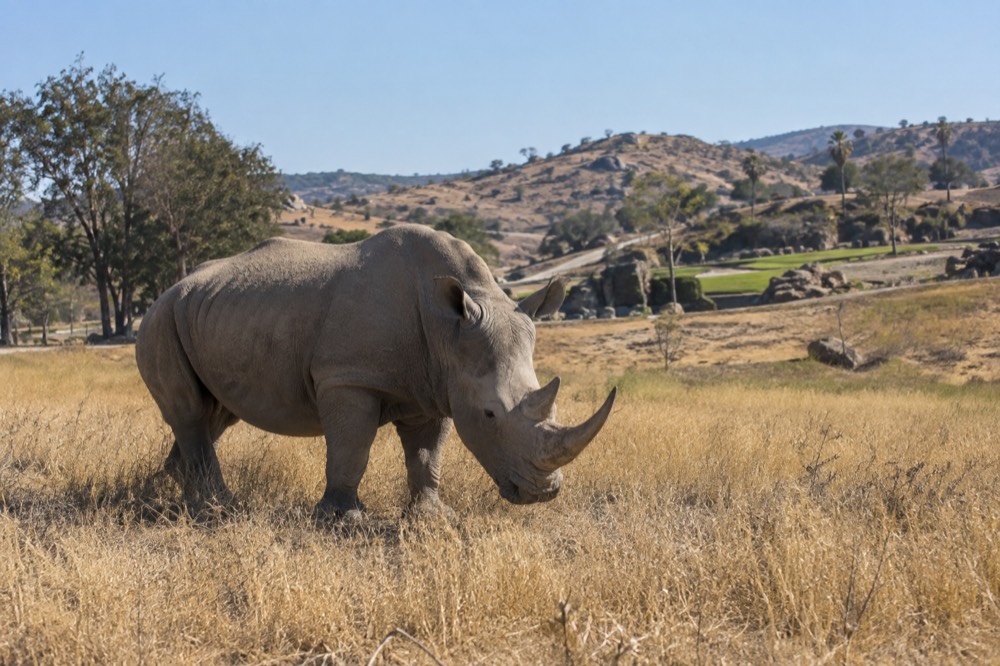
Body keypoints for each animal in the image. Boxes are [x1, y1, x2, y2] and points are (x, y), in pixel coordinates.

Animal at [135, 225, 616, 519]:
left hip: (209, 314)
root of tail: (167, 291)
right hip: (159, 321)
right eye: (490, 415)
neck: (448, 328)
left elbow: (426, 455)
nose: (542, 493)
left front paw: (432, 517)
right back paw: (218, 508)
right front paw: (343, 519)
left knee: (214, 415)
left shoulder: (437, 385)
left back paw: (174, 496)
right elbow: (352, 449)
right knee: (191, 413)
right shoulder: (348, 378)